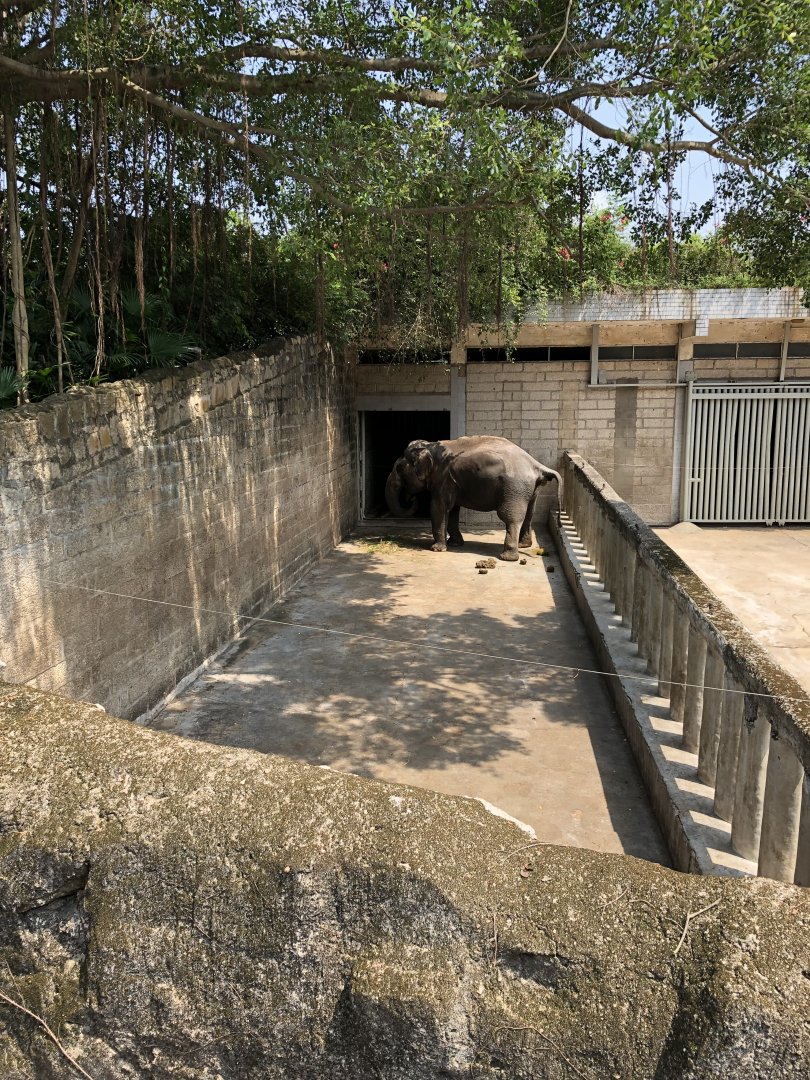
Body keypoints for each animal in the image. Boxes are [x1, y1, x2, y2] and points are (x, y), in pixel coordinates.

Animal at [384, 435, 563, 561]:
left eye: (399, 468)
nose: (411, 499)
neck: (430, 445)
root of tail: (536, 465)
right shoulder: (451, 482)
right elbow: (453, 510)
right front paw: (455, 544)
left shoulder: (442, 479)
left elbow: (438, 508)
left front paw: (436, 549)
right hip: (531, 489)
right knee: (529, 514)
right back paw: (523, 545)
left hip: (514, 488)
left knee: (510, 517)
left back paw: (507, 557)